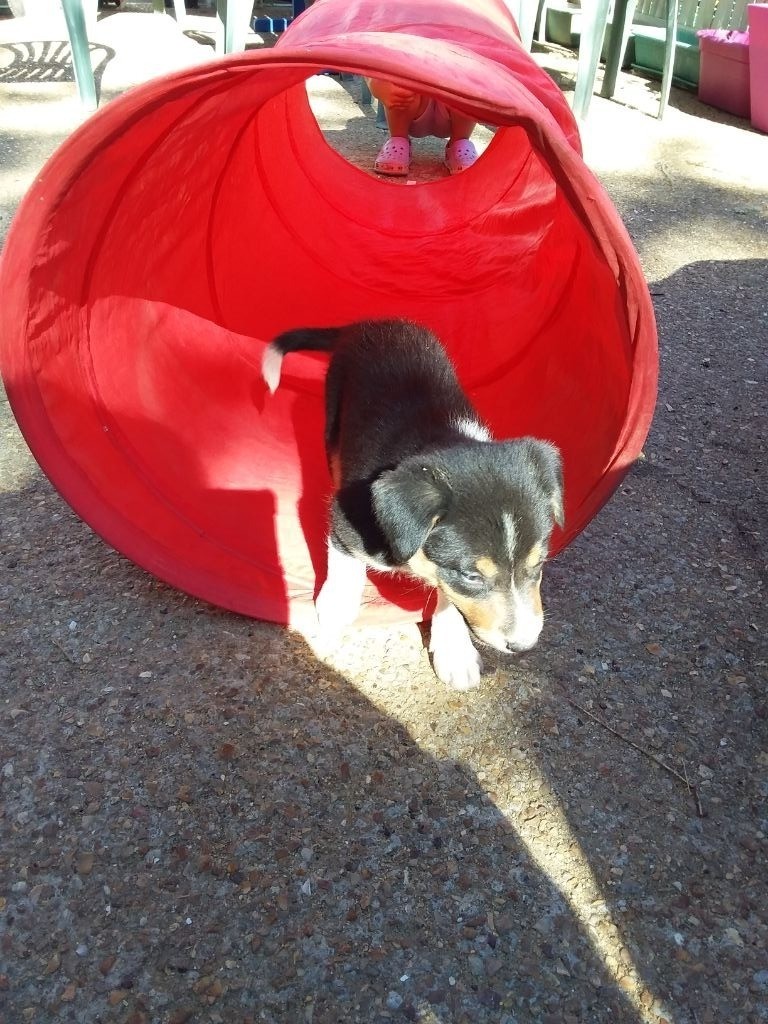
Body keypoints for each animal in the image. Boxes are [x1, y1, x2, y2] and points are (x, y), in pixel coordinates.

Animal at [261, 318, 564, 690]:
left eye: (539, 564)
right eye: (472, 576)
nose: (524, 644)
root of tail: (366, 324)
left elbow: (448, 595)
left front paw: (454, 653)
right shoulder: (346, 523)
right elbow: (345, 578)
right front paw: (330, 625)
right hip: (334, 413)